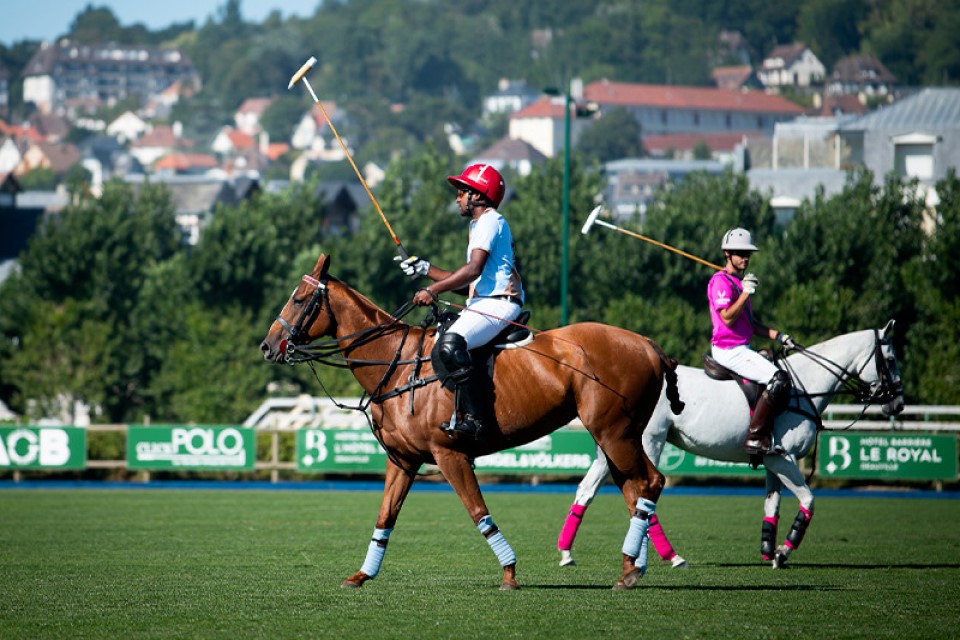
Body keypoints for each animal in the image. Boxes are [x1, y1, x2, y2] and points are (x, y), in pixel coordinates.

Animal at [262, 254, 684, 592]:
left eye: (299, 299)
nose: (268, 347)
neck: (395, 364)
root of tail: (650, 345)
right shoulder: (403, 458)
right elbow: (385, 516)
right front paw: (361, 575)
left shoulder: (449, 454)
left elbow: (478, 512)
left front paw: (510, 573)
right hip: (616, 434)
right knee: (634, 491)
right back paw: (631, 568)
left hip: (614, 432)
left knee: (650, 482)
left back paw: (633, 567)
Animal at [560, 324, 904, 568]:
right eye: (890, 359)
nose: (898, 403)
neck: (805, 388)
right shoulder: (783, 458)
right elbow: (809, 499)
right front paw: (783, 551)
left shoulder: (771, 459)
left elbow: (771, 506)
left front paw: (768, 551)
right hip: (650, 441)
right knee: (644, 491)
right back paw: (672, 556)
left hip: (616, 445)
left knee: (588, 489)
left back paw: (566, 552)